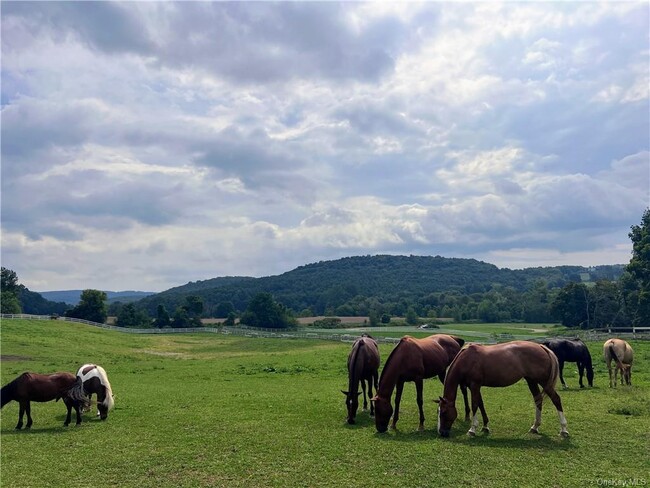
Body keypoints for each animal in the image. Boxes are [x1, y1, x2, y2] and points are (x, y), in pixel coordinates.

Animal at [436, 340, 568, 438]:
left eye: (444, 412)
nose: (441, 432)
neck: (467, 359)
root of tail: (541, 347)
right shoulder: (475, 386)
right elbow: (481, 404)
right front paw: (485, 426)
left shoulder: (474, 385)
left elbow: (475, 405)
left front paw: (472, 429)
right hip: (531, 381)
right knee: (538, 399)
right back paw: (535, 427)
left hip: (544, 382)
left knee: (556, 399)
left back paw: (564, 430)